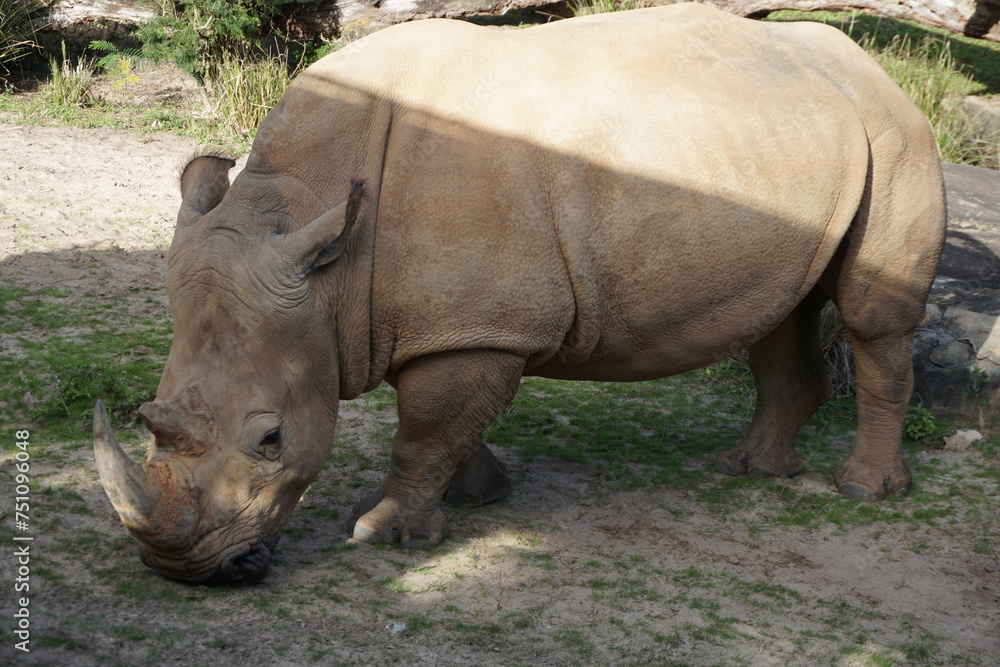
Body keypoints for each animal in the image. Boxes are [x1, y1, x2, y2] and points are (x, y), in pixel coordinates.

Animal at [93, 4, 945, 582]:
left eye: (270, 439)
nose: (183, 570)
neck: (316, 229)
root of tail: (872, 68)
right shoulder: (447, 322)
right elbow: (445, 424)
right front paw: (481, 498)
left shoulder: (475, 326)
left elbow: (426, 428)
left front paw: (383, 533)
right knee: (780, 310)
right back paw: (749, 468)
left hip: (897, 133)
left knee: (871, 317)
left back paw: (863, 490)